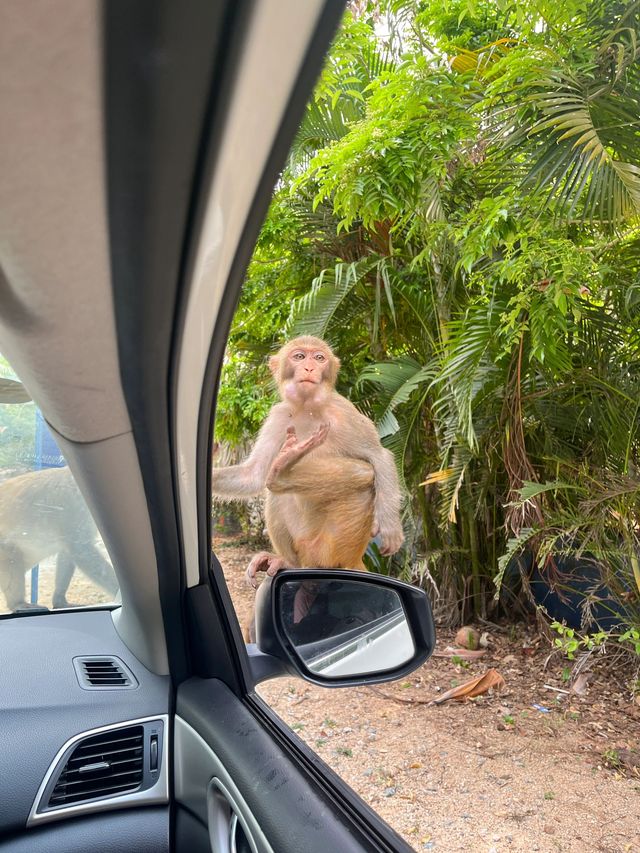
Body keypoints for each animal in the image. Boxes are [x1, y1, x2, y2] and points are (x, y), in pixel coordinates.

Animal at [0, 466, 119, 612]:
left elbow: (68, 552)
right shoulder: (75, 504)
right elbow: (81, 550)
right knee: (12, 555)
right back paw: (18, 603)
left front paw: (59, 600)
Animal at [212, 336, 402, 588]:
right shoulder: (279, 415)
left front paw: (390, 528)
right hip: (302, 543)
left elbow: (380, 457)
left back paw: (282, 476)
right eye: (300, 356)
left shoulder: (344, 411)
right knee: (276, 495)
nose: (310, 368)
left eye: (319, 358)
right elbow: (253, 474)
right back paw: (287, 560)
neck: (308, 408)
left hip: (333, 547)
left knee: (366, 475)